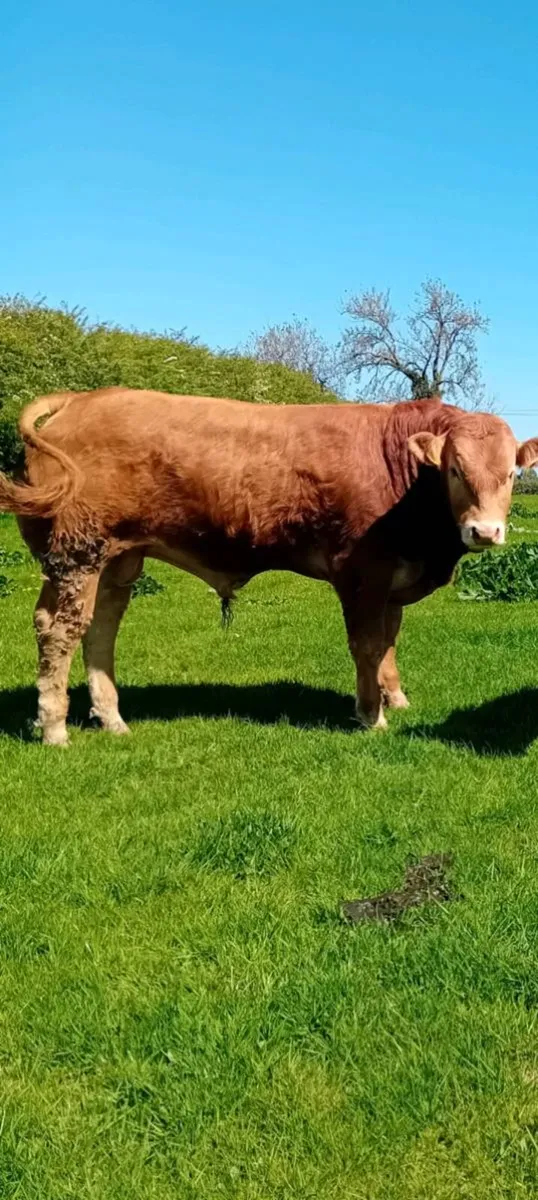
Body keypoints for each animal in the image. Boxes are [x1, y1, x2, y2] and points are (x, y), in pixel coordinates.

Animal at [0, 388, 536, 746]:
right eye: (455, 469)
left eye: (511, 473)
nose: (485, 531)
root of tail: (81, 399)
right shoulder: (363, 573)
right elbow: (366, 646)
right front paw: (371, 715)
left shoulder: (394, 579)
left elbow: (387, 642)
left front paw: (395, 699)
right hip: (79, 553)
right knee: (60, 632)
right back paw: (55, 727)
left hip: (115, 558)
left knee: (96, 629)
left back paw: (108, 719)